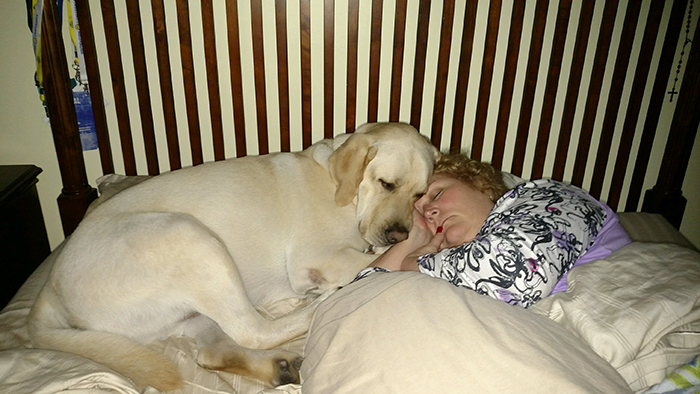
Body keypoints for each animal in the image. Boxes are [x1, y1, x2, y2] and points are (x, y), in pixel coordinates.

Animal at [27, 122, 438, 390]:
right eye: (387, 184)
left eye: (420, 194)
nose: (399, 233)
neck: (338, 184)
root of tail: (49, 289)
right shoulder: (318, 255)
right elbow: (373, 260)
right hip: (190, 237)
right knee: (253, 330)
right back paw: (319, 303)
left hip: (186, 309)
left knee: (214, 350)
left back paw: (279, 367)